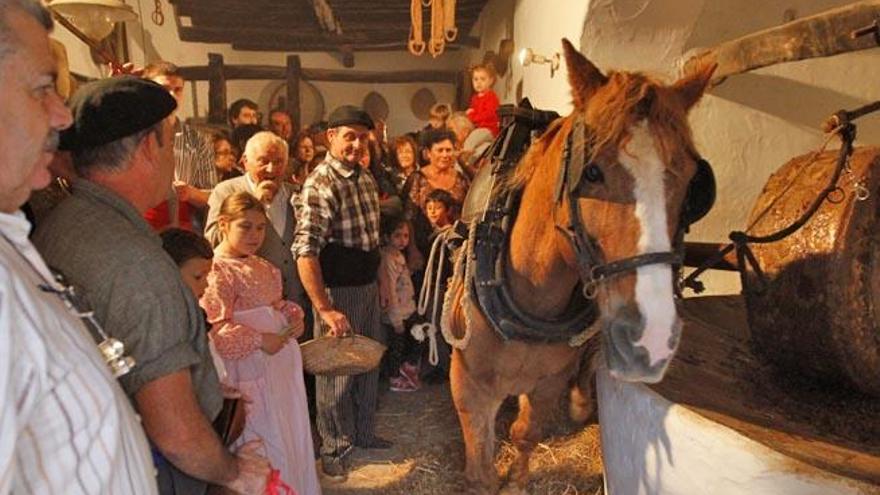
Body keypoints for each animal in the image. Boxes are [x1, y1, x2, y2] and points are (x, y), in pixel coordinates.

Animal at [444, 39, 720, 495]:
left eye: (691, 184)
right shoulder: (469, 388)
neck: (530, 297)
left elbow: (526, 434)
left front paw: (517, 481)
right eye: (590, 172)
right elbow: (480, 464)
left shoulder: (547, 383)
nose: (652, 338)